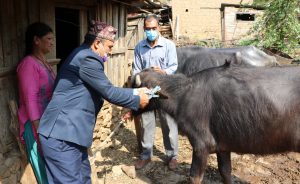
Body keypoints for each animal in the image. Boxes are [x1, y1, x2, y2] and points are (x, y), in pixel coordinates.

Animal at [134, 65, 300, 183]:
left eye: (135, 87)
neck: (183, 95)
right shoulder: (223, 147)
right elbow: (225, 172)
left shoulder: (201, 145)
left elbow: (194, 177)